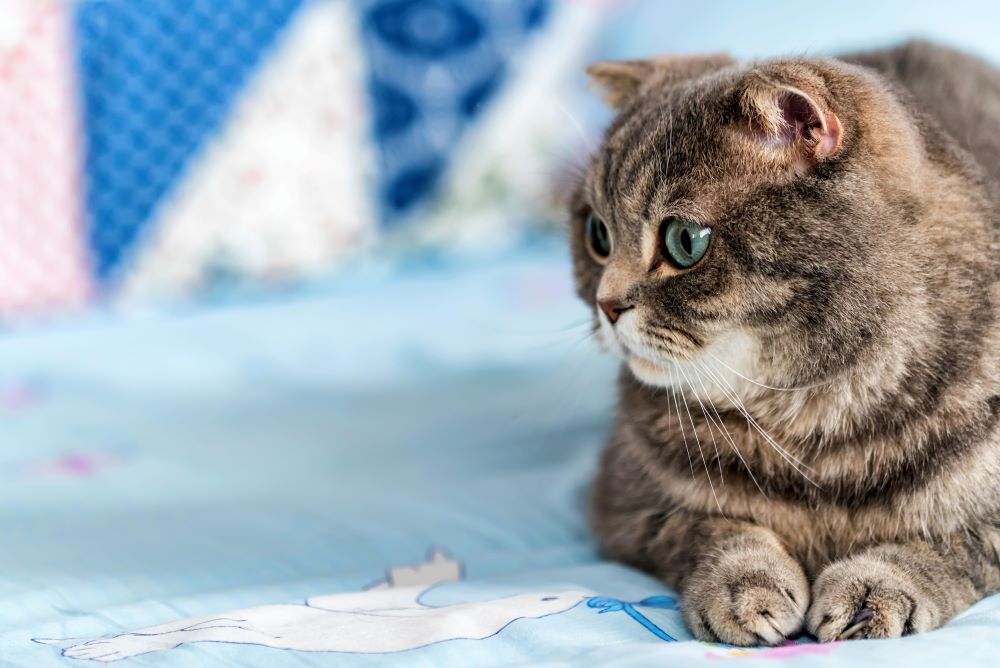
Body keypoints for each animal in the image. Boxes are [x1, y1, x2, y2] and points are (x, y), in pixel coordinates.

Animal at [572, 39, 1000, 644]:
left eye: (685, 241)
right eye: (597, 235)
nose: (605, 306)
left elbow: (951, 544)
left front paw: (875, 588)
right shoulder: (624, 502)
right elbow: (709, 528)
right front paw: (743, 584)